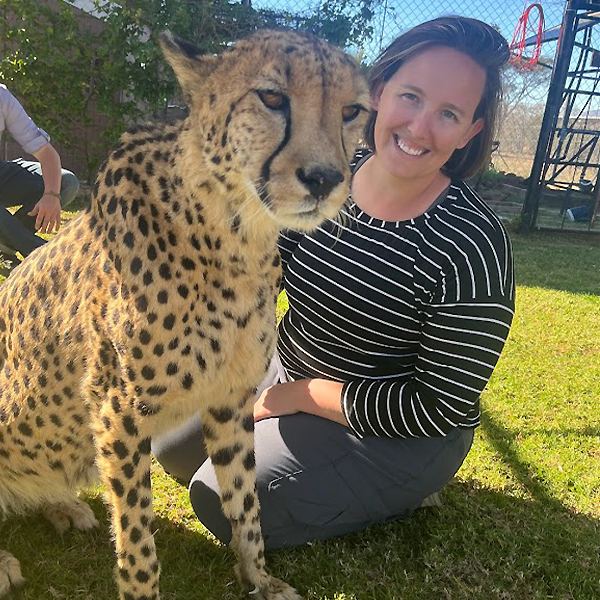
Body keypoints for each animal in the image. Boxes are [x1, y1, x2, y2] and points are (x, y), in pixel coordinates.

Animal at [0, 30, 366, 600]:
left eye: (352, 110)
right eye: (272, 97)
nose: (325, 178)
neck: (233, 234)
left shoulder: (230, 399)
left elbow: (244, 501)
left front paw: (259, 578)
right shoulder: (118, 413)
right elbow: (137, 537)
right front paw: (143, 589)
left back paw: (63, 506)